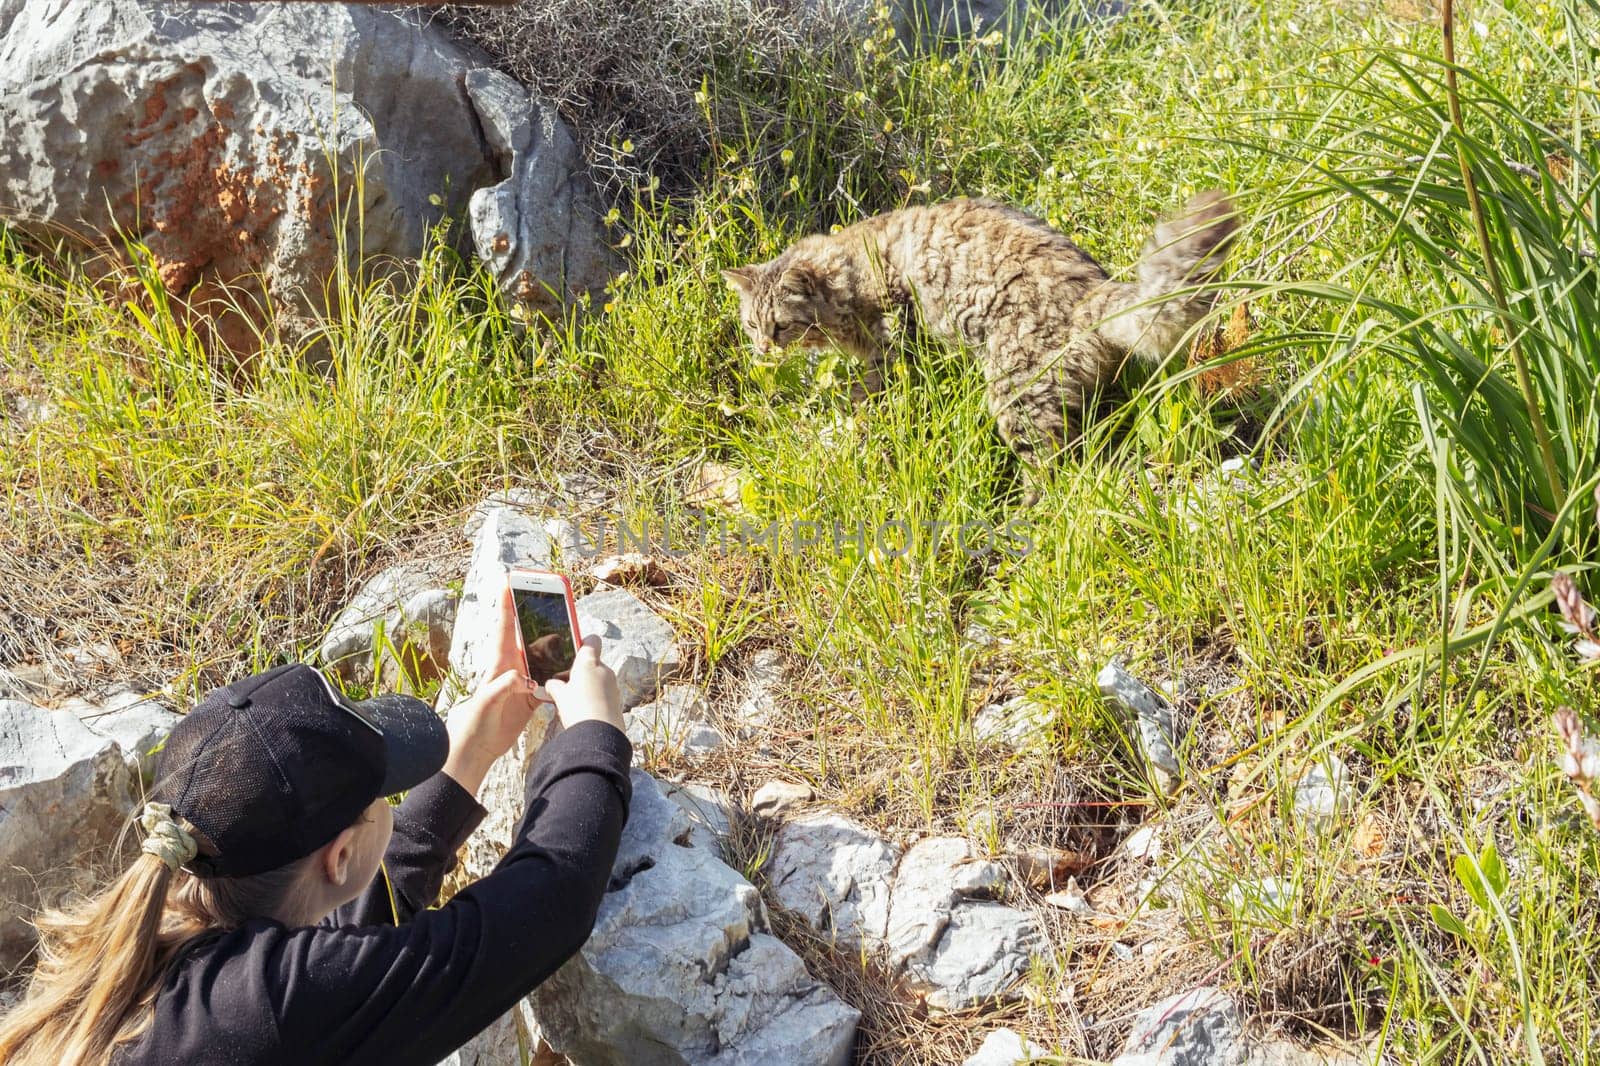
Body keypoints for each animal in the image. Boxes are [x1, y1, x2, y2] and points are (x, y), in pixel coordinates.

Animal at [723, 189, 1235, 499]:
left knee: (1049, 468)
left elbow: (870, 390)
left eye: (779, 326)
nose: (763, 350)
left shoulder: (893, 336)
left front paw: (853, 416)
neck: (848, 272)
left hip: (1017, 393)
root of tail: (1092, 291)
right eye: (751, 325)